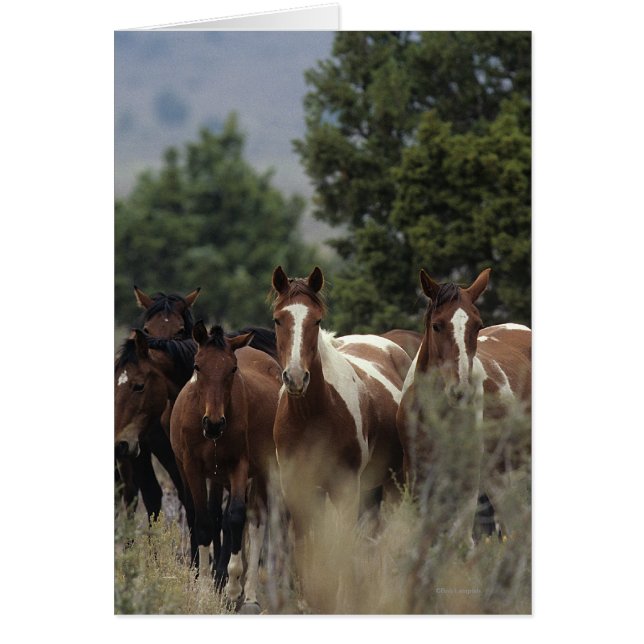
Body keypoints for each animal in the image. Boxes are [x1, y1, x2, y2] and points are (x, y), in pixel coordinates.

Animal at [170, 322, 282, 613]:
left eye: (232, 369)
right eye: (197, 366)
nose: (213, 424)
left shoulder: (239, 465)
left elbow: (236, 517)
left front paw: (232, 588)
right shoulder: (193, 468)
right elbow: (204, 522)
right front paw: (204, 591)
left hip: (262, 471)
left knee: (255, 522)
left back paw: (249, 596)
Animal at [270, 266, 411, 609]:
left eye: (316, 320)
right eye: (278, 319)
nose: (296, 378)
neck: (312, 416)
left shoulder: (345, 487)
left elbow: (343, 547)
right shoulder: (299, 487)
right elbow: (305, 547)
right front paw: (308, 602)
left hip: (391, 484)